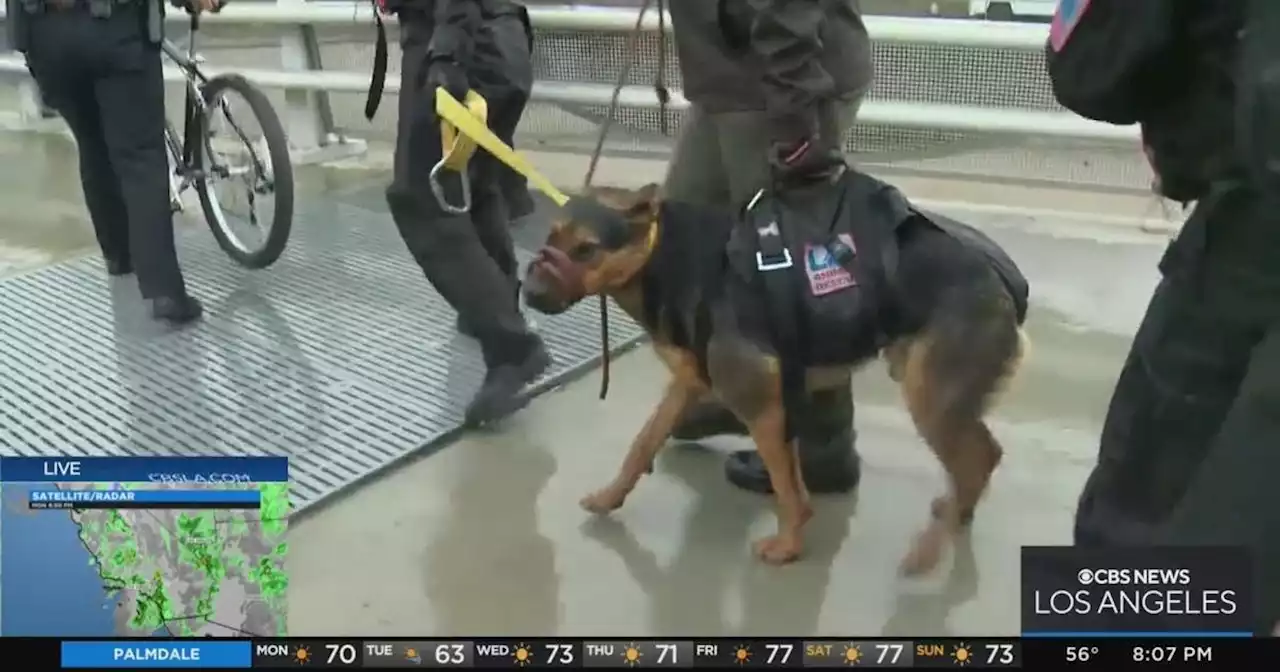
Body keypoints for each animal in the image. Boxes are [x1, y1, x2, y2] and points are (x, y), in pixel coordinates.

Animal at [519, 179, 1029, 576]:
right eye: (551, 235)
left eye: (587, 249)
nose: (529, 293)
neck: (667, 257)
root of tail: (1001, 276)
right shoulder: (690, 386)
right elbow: (643, 443)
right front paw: (610, 497)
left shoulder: (760, 403)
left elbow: (787, 488)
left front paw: (788, 548)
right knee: (975, 460)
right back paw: (955, 512)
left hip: (928, 397)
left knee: (980, 458)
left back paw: (927, 553)